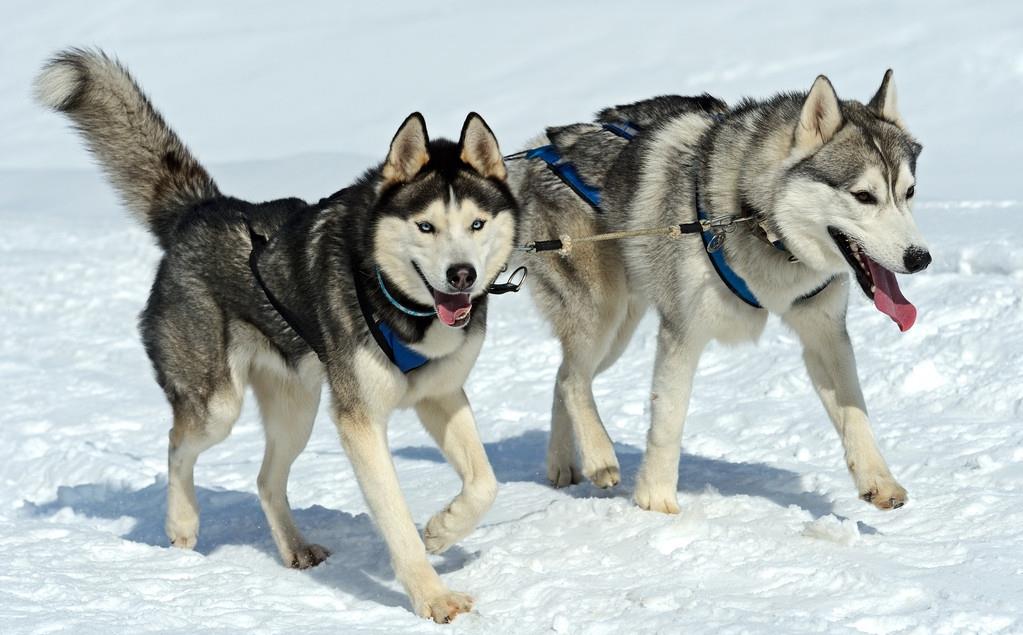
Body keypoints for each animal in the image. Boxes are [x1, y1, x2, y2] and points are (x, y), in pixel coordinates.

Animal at [35, 48, 515, 617]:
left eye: (477, 224)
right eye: (426, 227)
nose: (462, 275)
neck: (399, 303)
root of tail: (201, 210)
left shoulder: (440, 394)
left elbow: (485, 482)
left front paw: (444, 529)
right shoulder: (359, 422)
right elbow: (396, 521)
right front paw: (432, 597)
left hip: (297, 410)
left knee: (265, 479)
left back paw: (294, 547)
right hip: (217, 406)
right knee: (177, 444)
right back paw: (182, 523)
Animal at [511, 71, 928, 513]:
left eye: (909, 192)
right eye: (864, 196)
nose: (921, 258)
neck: (759, 223)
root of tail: (539, 151)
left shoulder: (825, 333)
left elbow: (855, 410)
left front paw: (878, 479)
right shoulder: (683, 333)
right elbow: (669, 419)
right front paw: (656, 503)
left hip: (618, 330)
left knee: (563, 376)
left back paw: (563, 463)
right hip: (602, 315)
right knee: (574, 380)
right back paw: (599, 457)